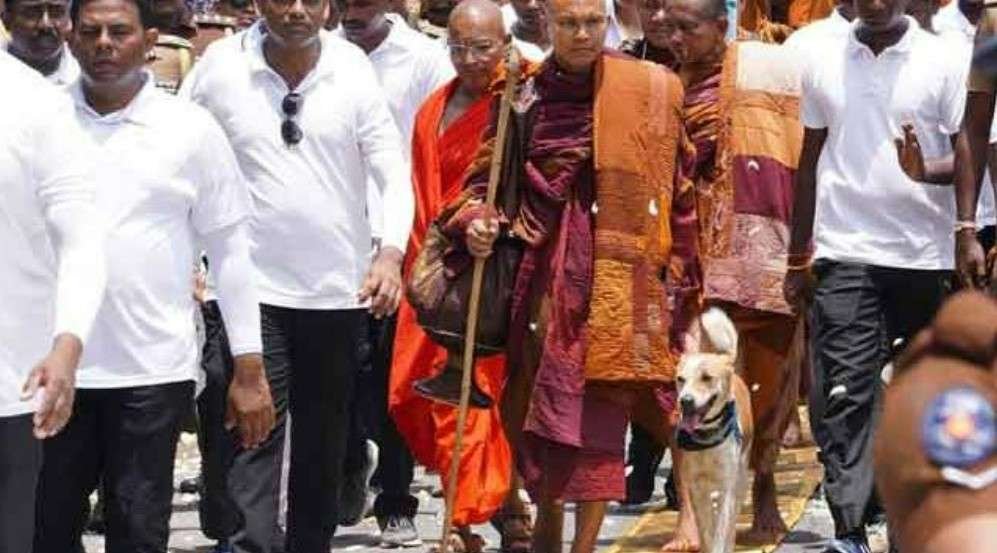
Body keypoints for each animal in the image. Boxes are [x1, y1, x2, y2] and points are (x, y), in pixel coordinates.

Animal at [676, 307, 754, 553]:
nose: (685, 401)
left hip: (740, 476)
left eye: (707, 377)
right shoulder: (696, 486)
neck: (706, 437)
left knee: (731, 523)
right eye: (680, 379)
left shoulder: (726, 486)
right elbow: (706, 530)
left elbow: (721, 530)